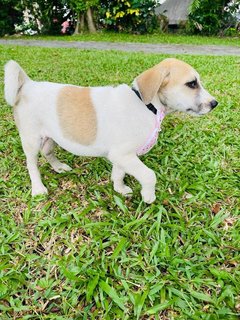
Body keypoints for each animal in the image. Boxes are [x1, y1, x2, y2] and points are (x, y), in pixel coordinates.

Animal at [3, 58, 218, 202]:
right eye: (192, 84)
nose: (215, 103)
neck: (145, 104)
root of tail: (28, 85)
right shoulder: (123, 155)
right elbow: (149, 175)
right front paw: (148, 195)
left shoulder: (122, 156)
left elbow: (118, 174)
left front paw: (119, 189)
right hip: (31, 140)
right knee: (32, 164)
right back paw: (38, 188)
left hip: (50, 137)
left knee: (48, 152)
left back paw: (59, 167)